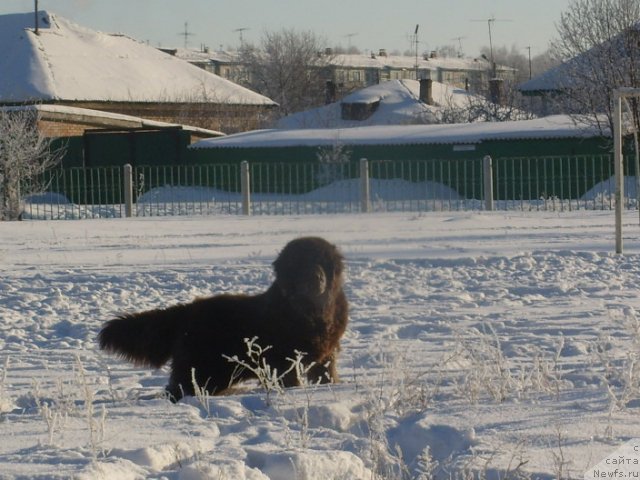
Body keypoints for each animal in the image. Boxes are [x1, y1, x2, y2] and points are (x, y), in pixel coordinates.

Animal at [97, 236, 348, 402]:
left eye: (322, 261)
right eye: (300, 263)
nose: (316, 277)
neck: (312, 313)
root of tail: (187, 309)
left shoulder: (325, 357)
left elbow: (327, 376)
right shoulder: (282, 362)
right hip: (200, 369)